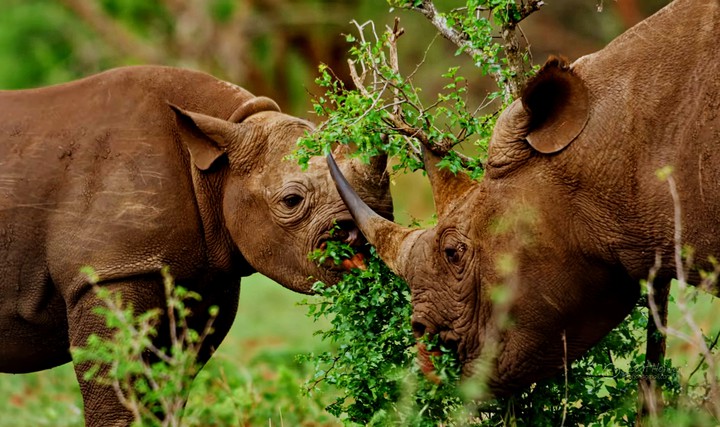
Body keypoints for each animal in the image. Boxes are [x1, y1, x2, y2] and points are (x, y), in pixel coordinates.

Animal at [0, 65, 391, 425]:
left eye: (387, 207)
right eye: (291, 201)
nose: (357, 238)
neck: (214, 165)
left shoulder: (204, 277)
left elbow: (168, 387)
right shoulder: (110, 269)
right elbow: (116, 385)